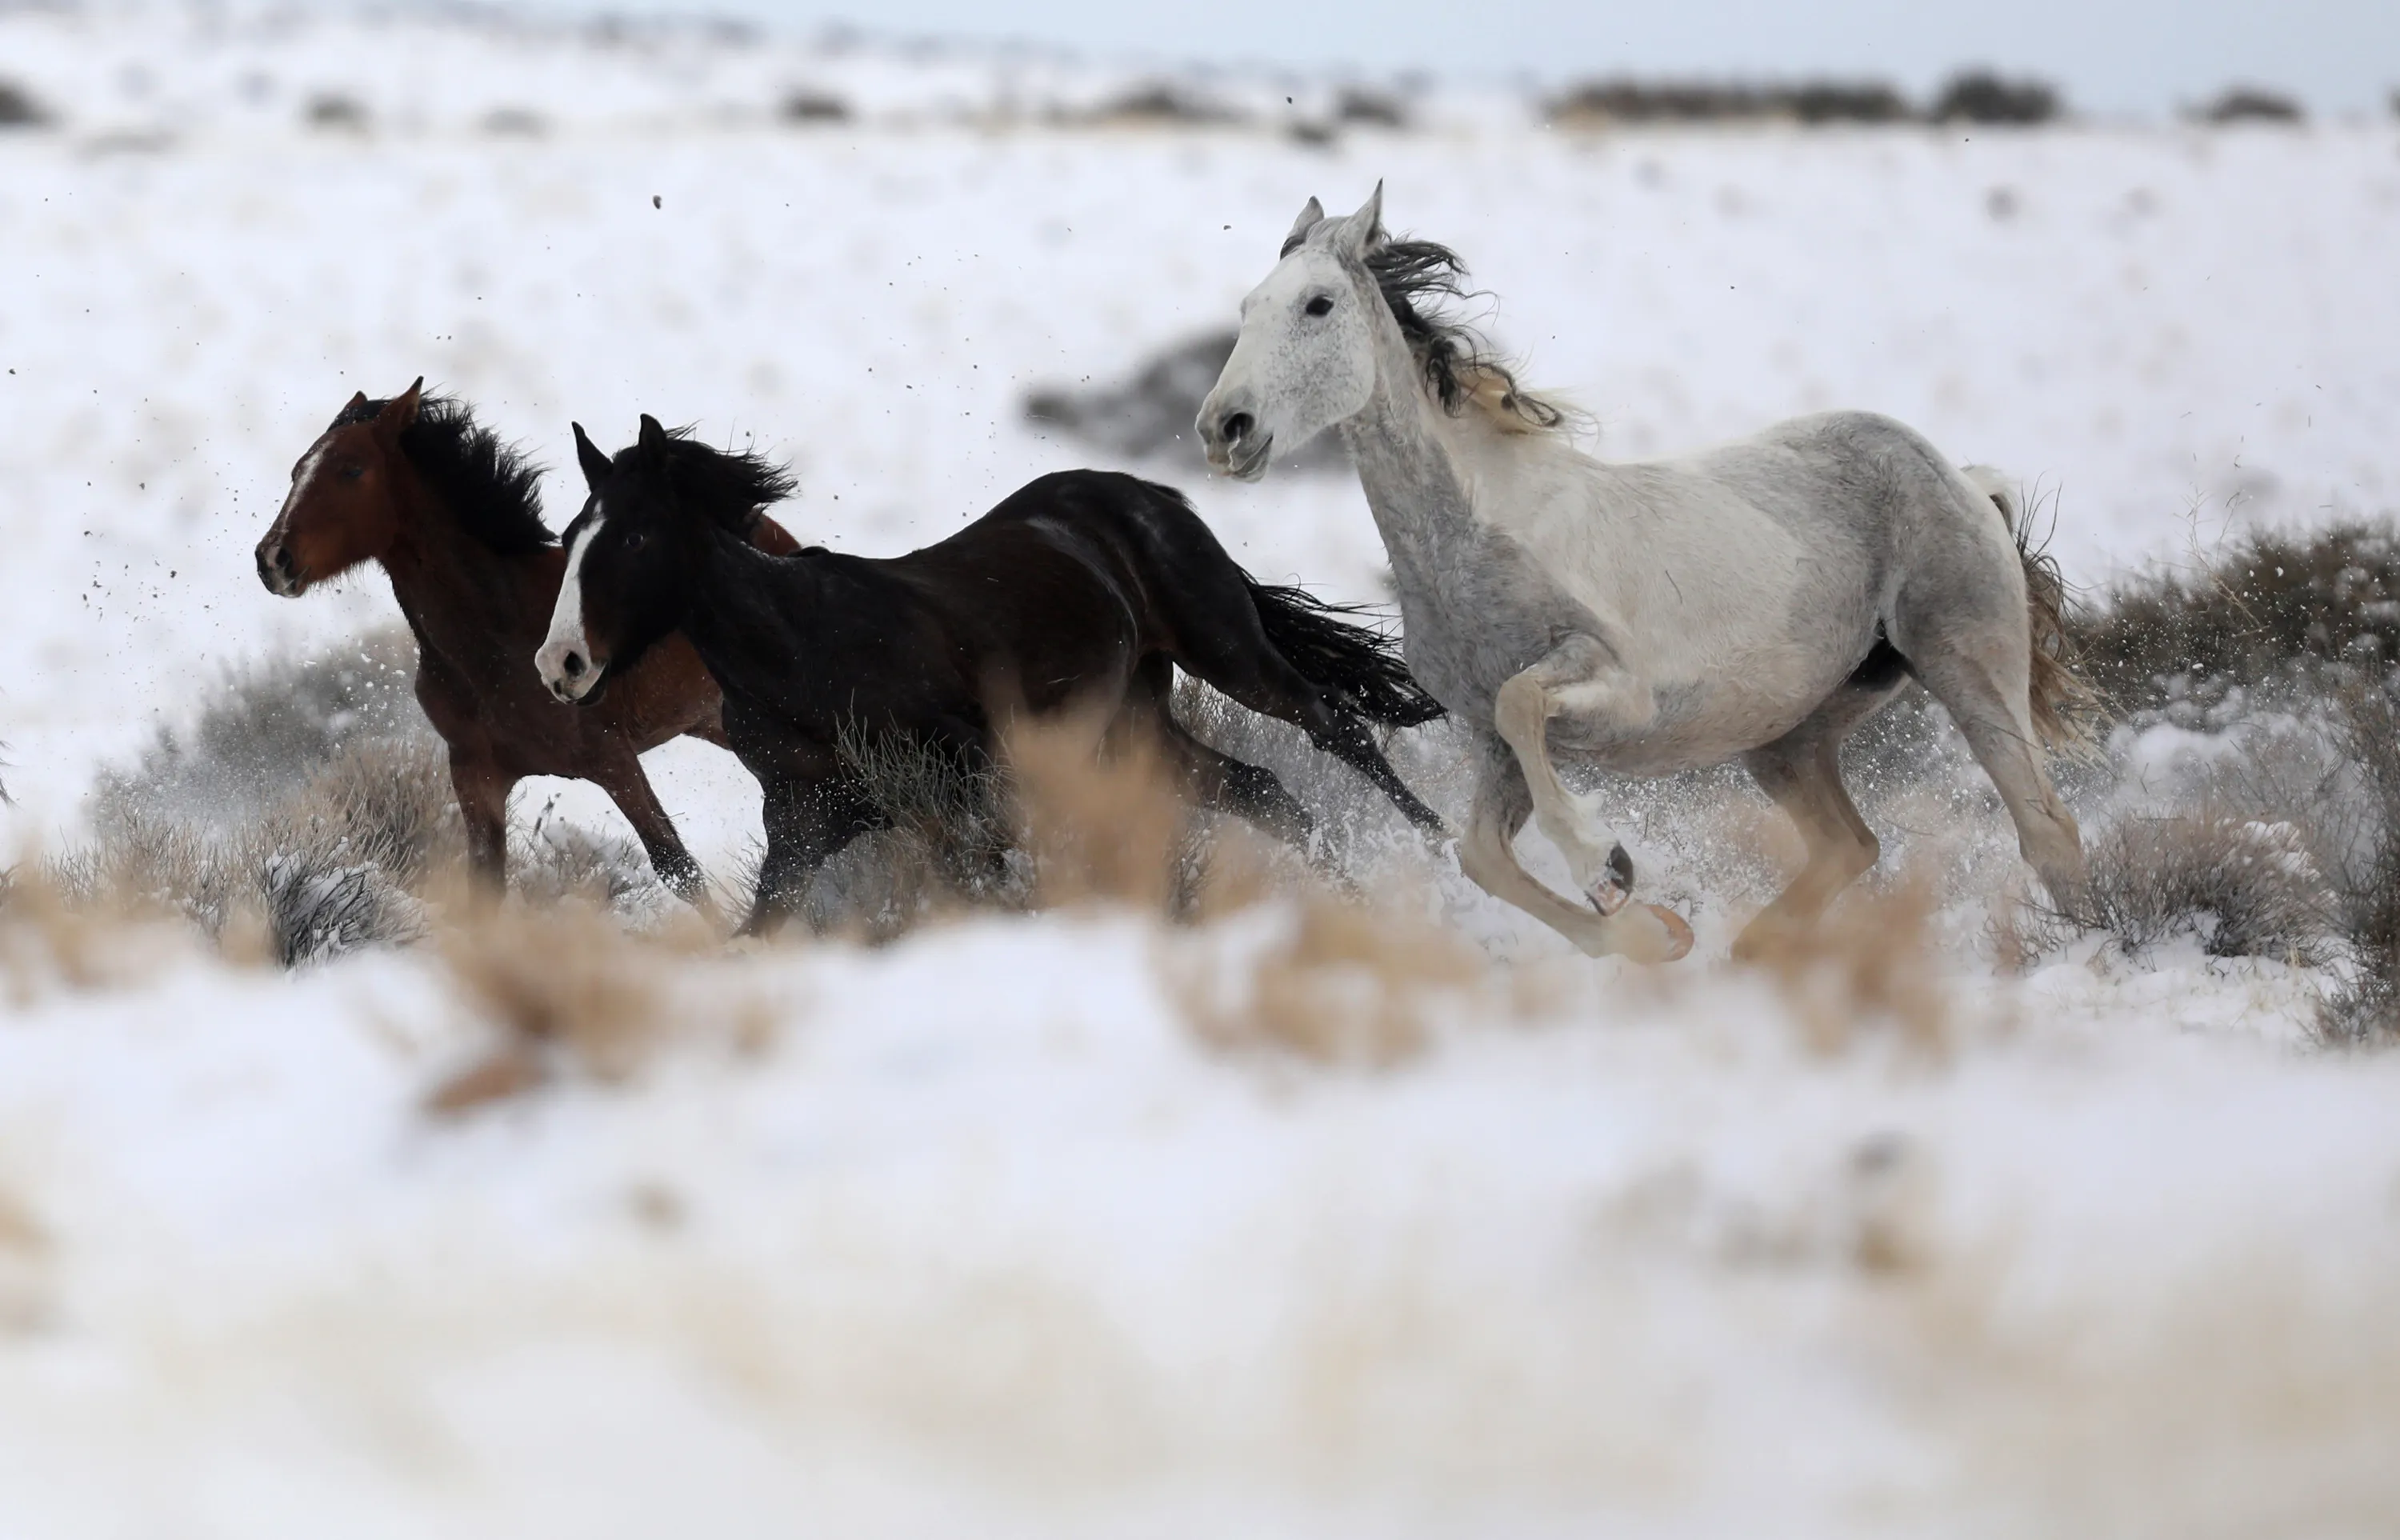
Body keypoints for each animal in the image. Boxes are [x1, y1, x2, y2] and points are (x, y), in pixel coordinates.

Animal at [254, 380, 801, 904]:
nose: (272, 558)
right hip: (716, 724)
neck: (496, 640)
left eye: (351, 470)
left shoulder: (614, 761)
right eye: (298, 470)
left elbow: (679, 870)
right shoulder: (476, 774)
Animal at [533, 416, 1450, 934]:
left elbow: (1003, 876)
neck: (803, 652)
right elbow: (758, 931)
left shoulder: (973, 776)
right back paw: (1358, 895)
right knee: (1260, 789)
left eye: (636, 536)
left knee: (1336, 726)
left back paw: (1438, 853)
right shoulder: (802, 824)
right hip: (1136, 717)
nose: (560, 664)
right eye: (572, 534)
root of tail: (1144, 492)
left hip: (1226, 648)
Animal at [1196, 186, 2088, 964]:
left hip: (1969, 672)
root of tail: (1963, 479)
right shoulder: (1491, 745)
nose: (1223, 428)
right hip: (1790, 737)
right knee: (1851, 844)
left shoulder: (1615, 691)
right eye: (1246, 309)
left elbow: (1525, 703)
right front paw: (1647, 932)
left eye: (1318, 305)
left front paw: (1607, 867)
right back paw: (1748, 956)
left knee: (2047, 829)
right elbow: (1481, 854)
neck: (1470, 540)